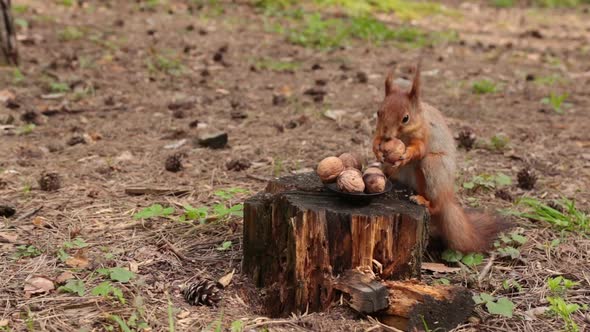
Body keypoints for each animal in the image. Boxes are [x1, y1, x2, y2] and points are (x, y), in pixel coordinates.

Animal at [374, 63, 508, 253]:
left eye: (406, 118)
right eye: (379, 112)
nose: (387, 136)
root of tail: (448, 197)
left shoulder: (425, 134)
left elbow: (419, 149)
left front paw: (406, 155)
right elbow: (376, 138)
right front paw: (376, 148)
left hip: (434, 167)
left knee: (437, 205)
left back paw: (423, 201)